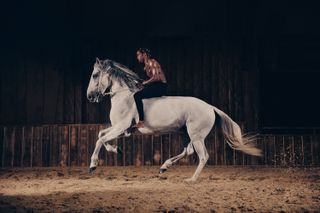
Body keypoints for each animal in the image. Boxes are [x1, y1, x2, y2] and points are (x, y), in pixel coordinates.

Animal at [86, 57, 262, 181]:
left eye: (95, 75)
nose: (90, 97)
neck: (123, 96)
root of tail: (210, 107)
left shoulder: (121, 127)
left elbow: (100, 140)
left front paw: (93, 165)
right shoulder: (122, 129)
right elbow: (101, 135)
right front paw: (117, 150)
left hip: (196, 136)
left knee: (203, 156)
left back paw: (191, 179)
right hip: (187, 133)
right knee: (188, 151)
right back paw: (164, 166)